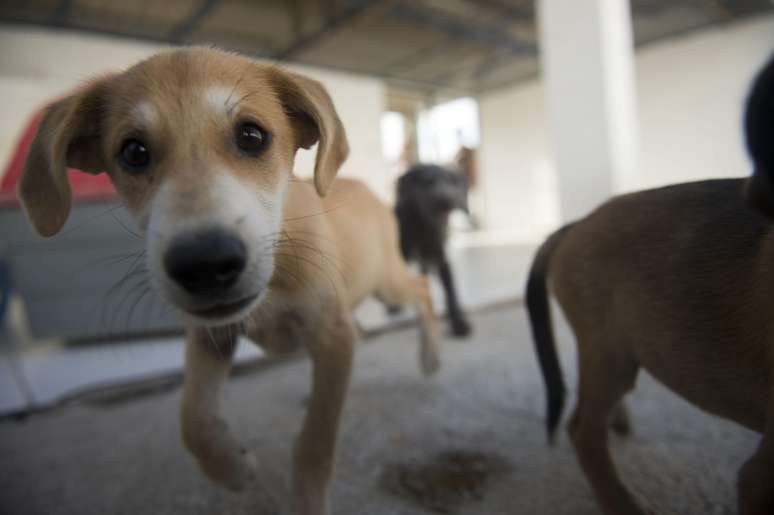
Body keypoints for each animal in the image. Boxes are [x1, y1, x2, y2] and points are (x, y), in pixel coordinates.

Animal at [19, 47, 442, 515]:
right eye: (133, 151)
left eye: (252, 136)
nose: (204, 263)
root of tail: (368, 189)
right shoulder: (211, 335)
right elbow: (193, 418)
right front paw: (232, 469)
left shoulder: (330, 332)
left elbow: (315, 440)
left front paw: (306, 498)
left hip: (387, 281)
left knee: (421, 289)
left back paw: (430, 357)